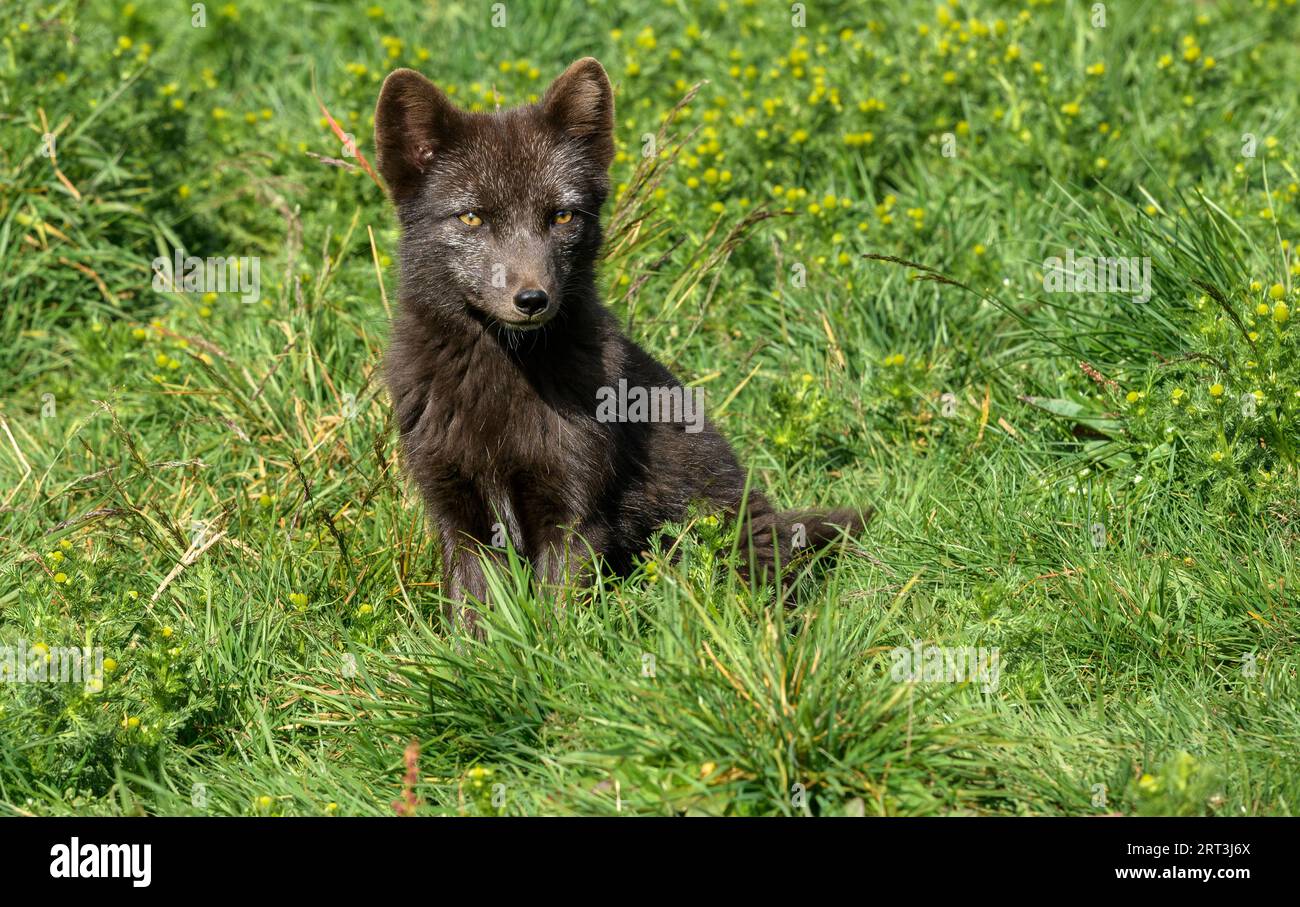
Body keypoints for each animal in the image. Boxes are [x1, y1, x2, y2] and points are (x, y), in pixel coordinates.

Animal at [374, 57, 869, 633]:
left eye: (562, 216)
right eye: (472, 217)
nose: (532, 299)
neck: (501, 382)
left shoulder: (574, 512)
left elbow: (559, 619)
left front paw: (552, 654)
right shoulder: (457, 511)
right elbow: (474, 619)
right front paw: (477, 654)